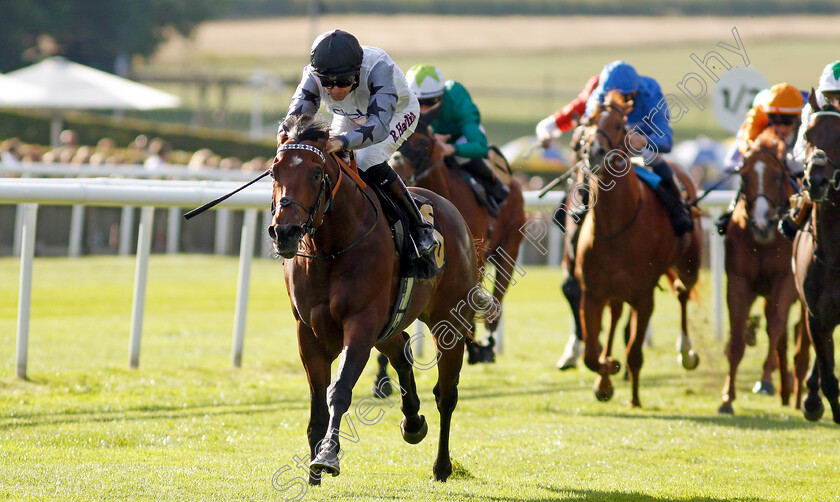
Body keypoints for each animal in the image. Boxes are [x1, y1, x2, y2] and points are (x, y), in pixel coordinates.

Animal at [270, 114, 486, 482]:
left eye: (315, 172)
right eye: (274, 172)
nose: (284, 231)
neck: (332, 247)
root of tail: (450, 210)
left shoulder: (362, 321)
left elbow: (339, 389)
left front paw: (327, 456)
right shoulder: (308, 330)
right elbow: (317, 404)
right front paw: (312, 476)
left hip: (449, 321)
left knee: (446, 394)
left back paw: (442, 466)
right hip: (389, 325)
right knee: (402, 351)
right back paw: (412, 423)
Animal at [388, 114, 524, 356]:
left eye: (423, 143)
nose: (396, 171)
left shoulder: (475, 254)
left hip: (509, 249)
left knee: (497, 295)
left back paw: (486, 344)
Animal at [576, 92, 704, 408]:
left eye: (619, 124)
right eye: (587, 121)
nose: (594, 151)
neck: (615, 228)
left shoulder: (644, 297)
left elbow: (634, 353)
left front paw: (634, 398)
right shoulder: (591, 293)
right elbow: (590, 355)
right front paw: (606, 370)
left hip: (690, 265)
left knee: (682, 292)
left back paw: (686, 352)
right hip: (613, 292)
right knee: (615, 315)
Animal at [720, 129, 796, 416]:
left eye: (777, 175)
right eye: (743, 176)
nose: (762, 223)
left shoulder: (786, 281)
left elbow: (774, 326)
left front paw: (764, 380)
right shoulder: (738, 281)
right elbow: (737, 340)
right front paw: (727, 398)